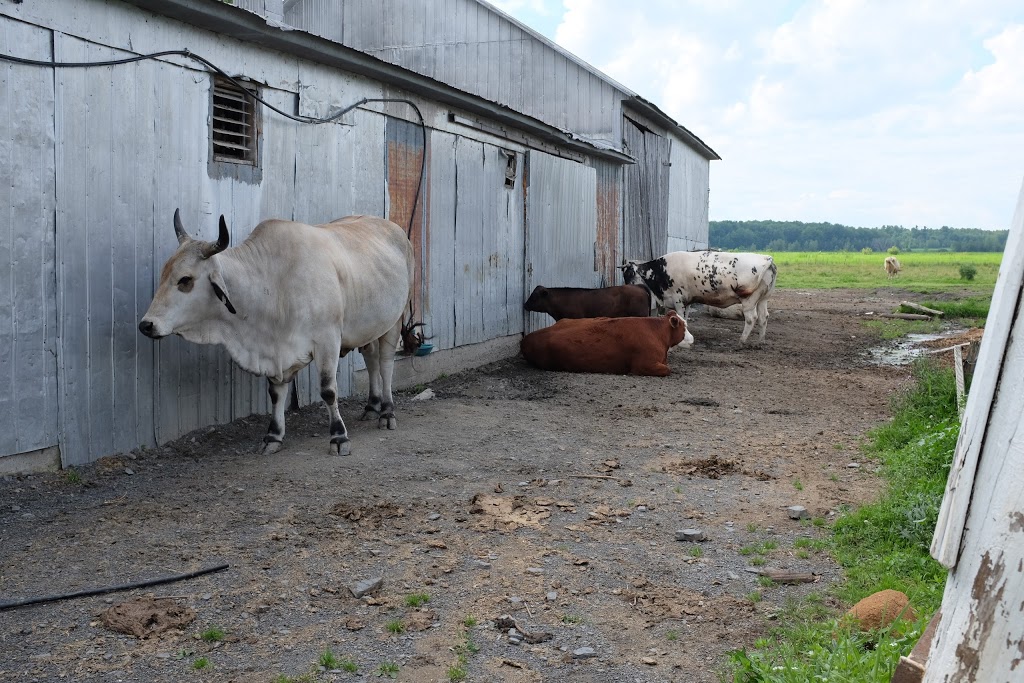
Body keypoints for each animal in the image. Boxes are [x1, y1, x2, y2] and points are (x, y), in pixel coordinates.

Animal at [139, 208, 415, 454]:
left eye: (185, 280)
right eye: (163, 274)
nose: (146, 325)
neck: (274, 282)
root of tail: (395, 228)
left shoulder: (327, 340)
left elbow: (328, 390)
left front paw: (338, 436)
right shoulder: (275, 351)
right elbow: (275, 393)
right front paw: (273, 436)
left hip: (395, 320)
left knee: (385, 365)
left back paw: (387, 412)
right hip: (370, 326)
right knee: (371, 359)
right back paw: (371, 407)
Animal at [614, 250, 774, 344]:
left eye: (629, 273)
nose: (627, 286)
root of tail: (767, 258)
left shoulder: (678, 298)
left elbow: (680, 315)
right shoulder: (688, 300)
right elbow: (685, 317)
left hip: (749, 300)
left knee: (751, 318)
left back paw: (741, 341)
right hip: (763, 298)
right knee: (763, 317)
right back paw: (760, 341)